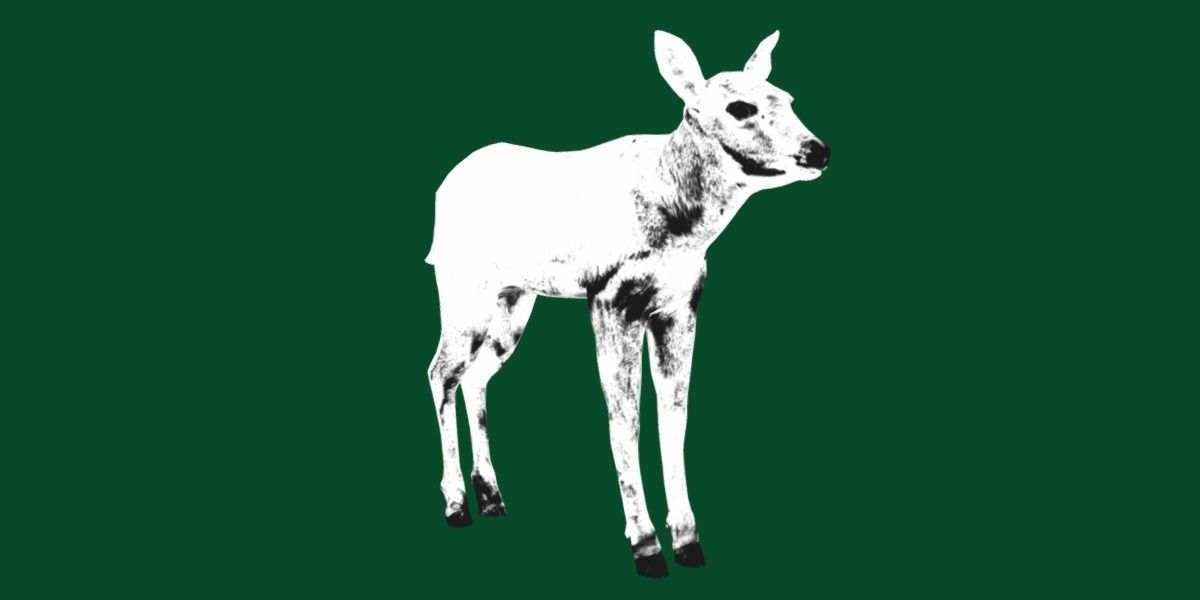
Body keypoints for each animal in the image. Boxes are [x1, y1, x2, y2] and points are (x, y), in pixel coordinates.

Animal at [425, 30, 829, 577]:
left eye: (788, 99)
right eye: (739, 107)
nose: (818, 151)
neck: (682, 225)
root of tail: (444, 186)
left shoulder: (680, 305)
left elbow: (674, 415)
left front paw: (687, 542)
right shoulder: (610, 299)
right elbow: (624, 419)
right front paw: (646, 546)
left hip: (515, 299)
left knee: (476, 374)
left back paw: (492, 498)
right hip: (461, 286)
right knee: (441, 371)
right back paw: (456, 505)